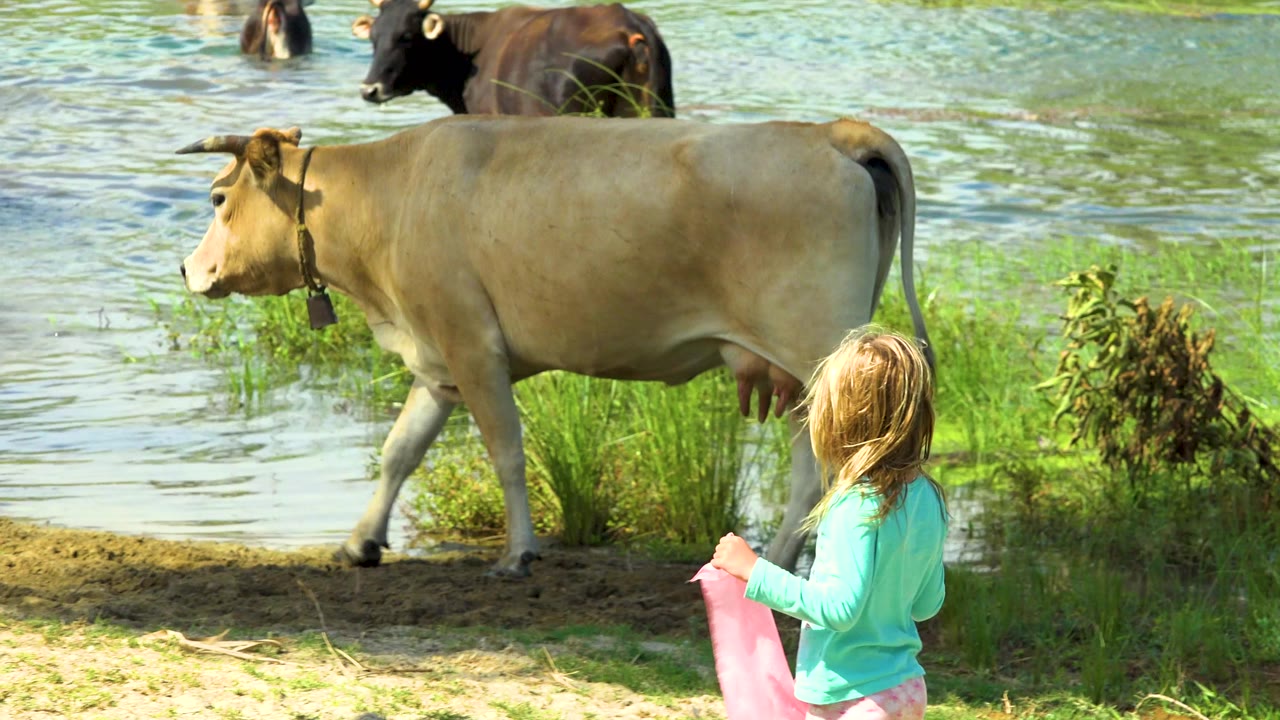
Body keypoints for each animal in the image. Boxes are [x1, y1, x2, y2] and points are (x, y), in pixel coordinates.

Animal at [175, 114, 933, 578]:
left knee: (827, 469)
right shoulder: (438, 361)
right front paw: (360, 540)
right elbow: (399, 450)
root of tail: (829, 133)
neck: (385, 197)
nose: (187, 269)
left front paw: (519, 552)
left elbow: (506, 452)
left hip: (819, 358)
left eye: (216, 198)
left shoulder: (471, 344)